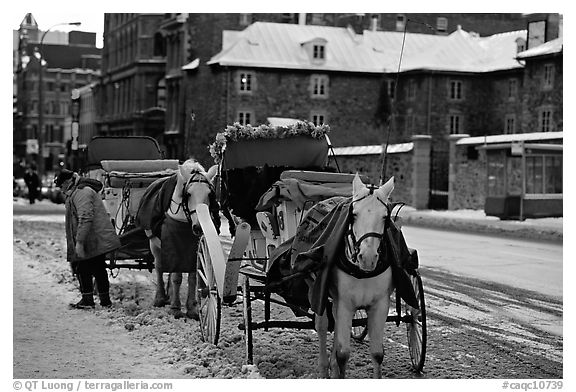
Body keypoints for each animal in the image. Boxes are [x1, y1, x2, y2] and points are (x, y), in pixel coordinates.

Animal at [316, 174, 396, 376]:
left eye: (385, 217)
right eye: (353, 214)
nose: (367, 258)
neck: (362, 272)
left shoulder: (380, 304)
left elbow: (377, 354)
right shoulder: (345, 303)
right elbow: (343, 354)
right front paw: (336, 367)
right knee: (321, 325)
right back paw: (324, 367)